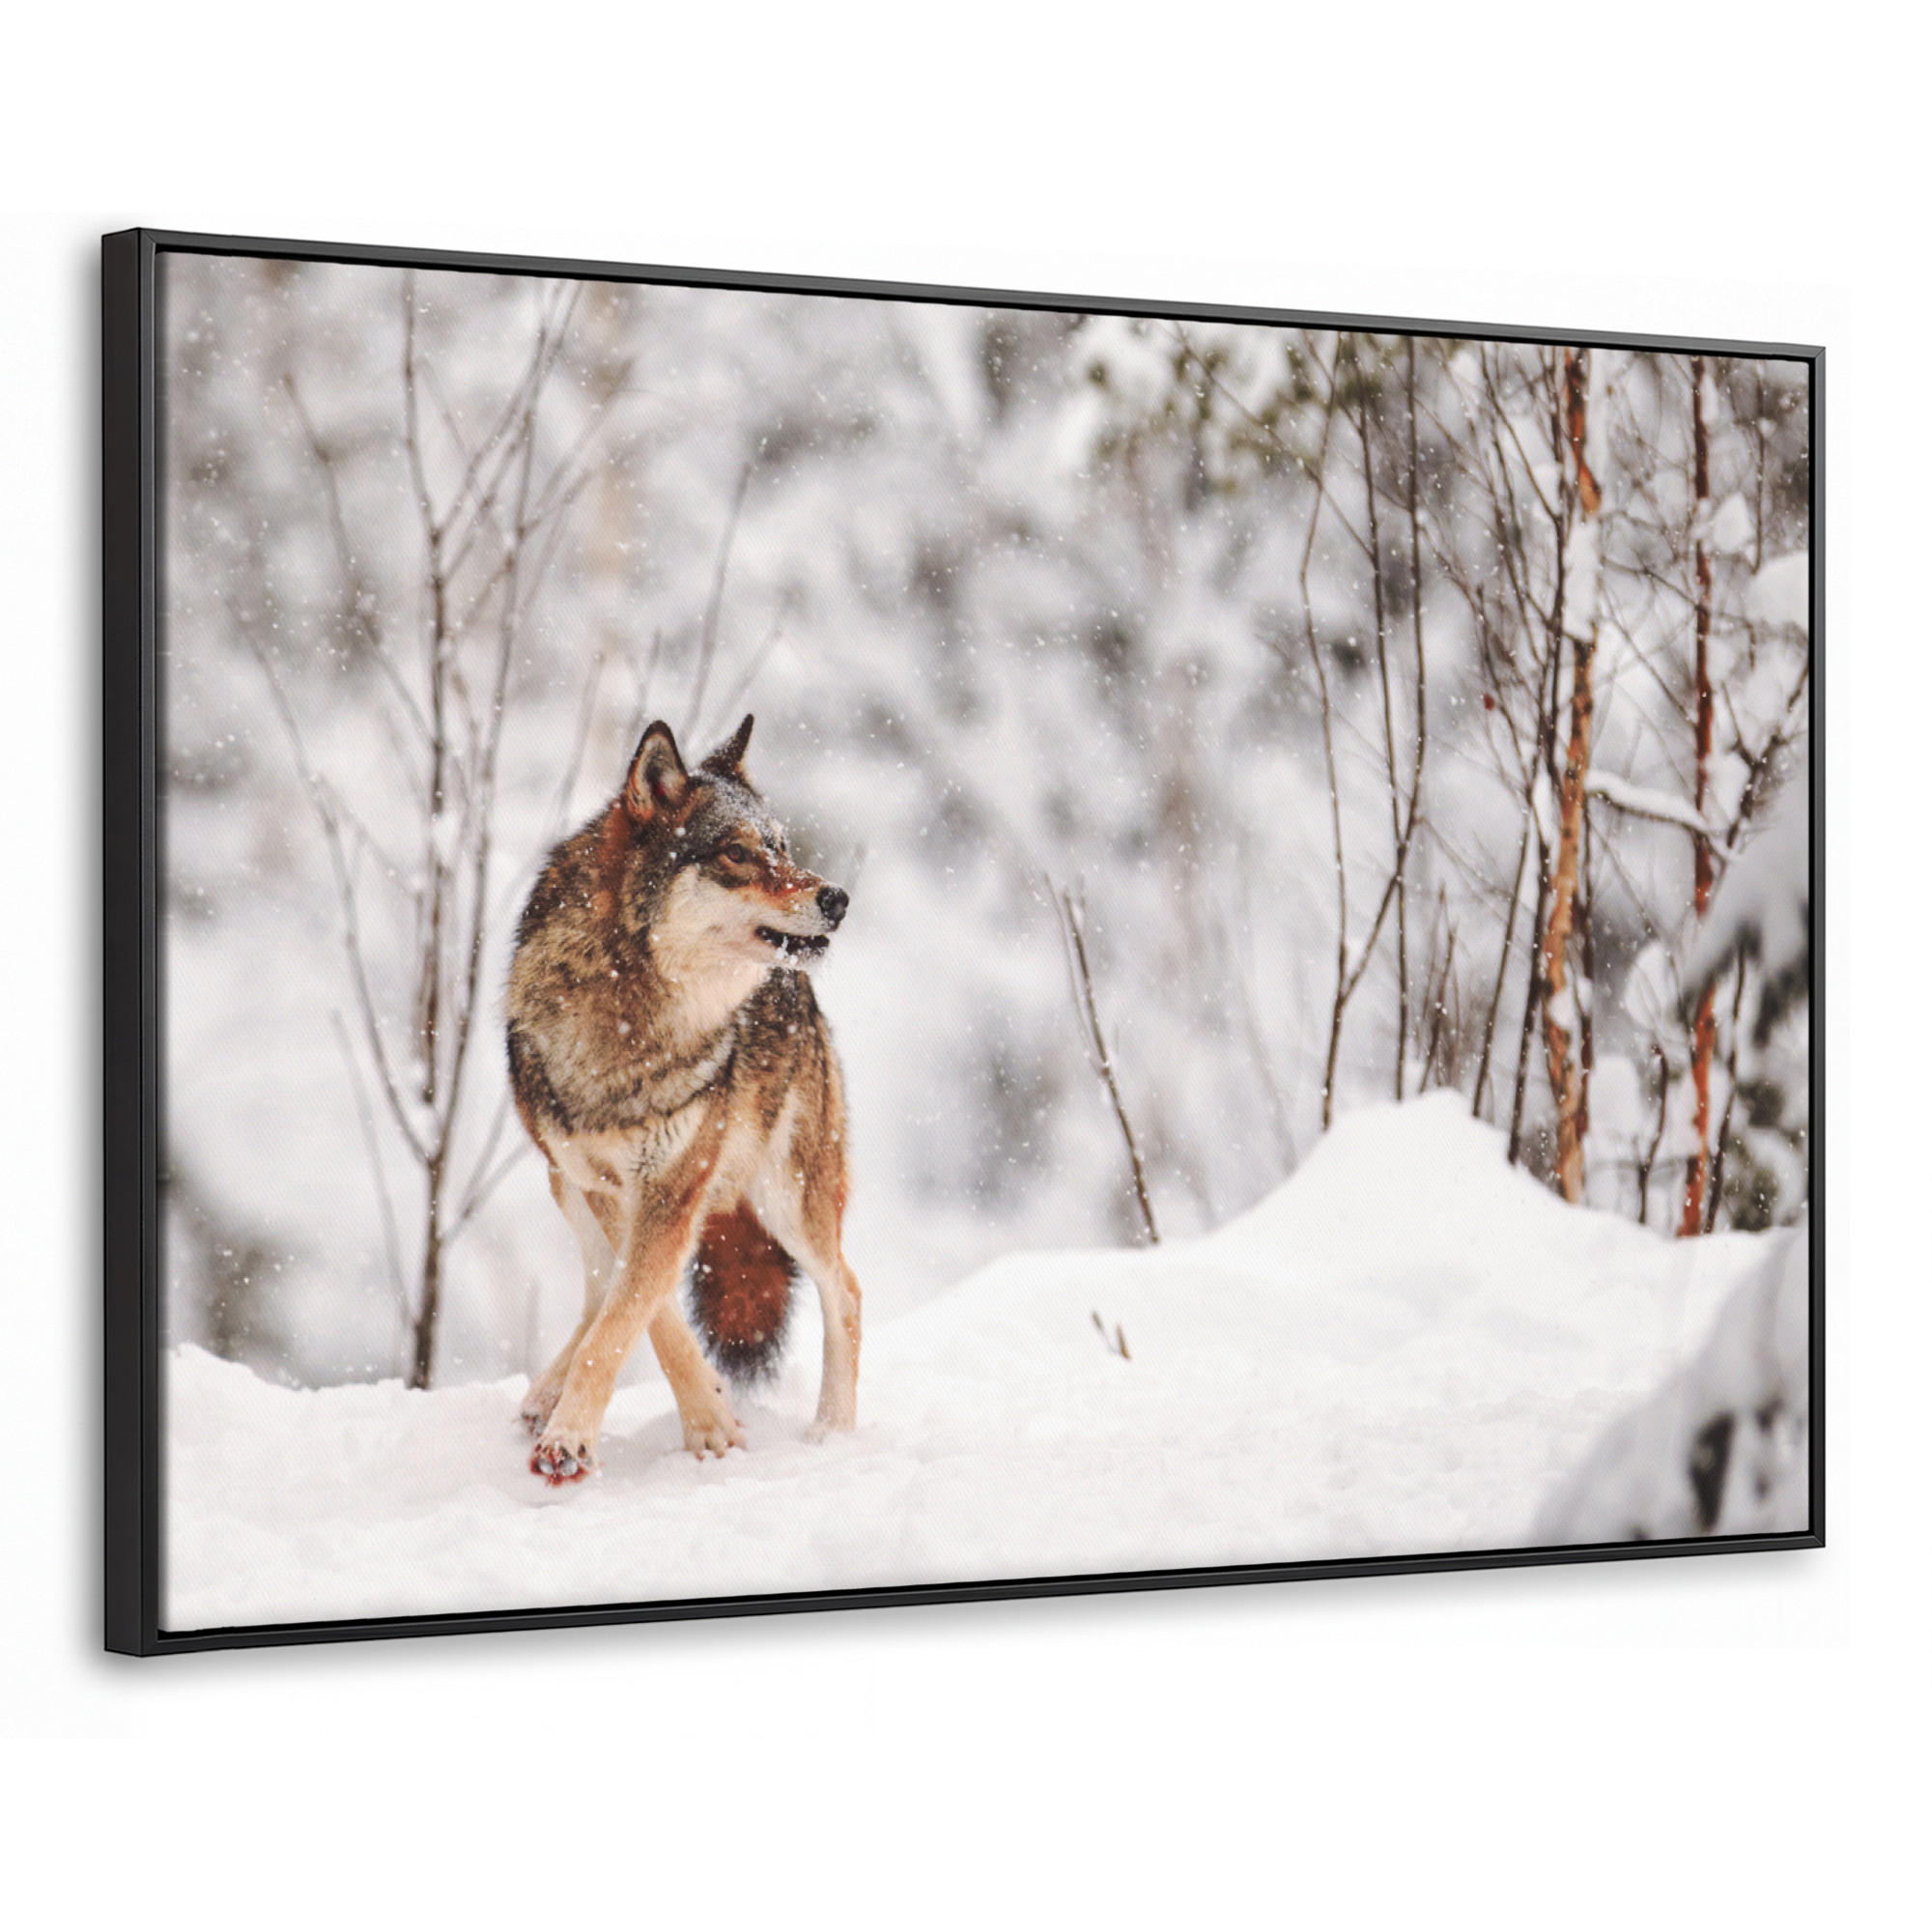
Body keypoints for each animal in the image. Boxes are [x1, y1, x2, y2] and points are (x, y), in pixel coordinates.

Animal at [505, 713, 861, 1486]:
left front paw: (574, 1440)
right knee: (598, 1286)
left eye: (782, 846)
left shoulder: (672, 1186)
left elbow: (629, 1314)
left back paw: (834, 1435)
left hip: (788, 1199)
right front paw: (709, 1421)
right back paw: (543, 1395)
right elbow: (644, 1311)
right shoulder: (610, 1187)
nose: (838, 899)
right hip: (564, 1185)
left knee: (845, 1290)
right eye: (738, 853)